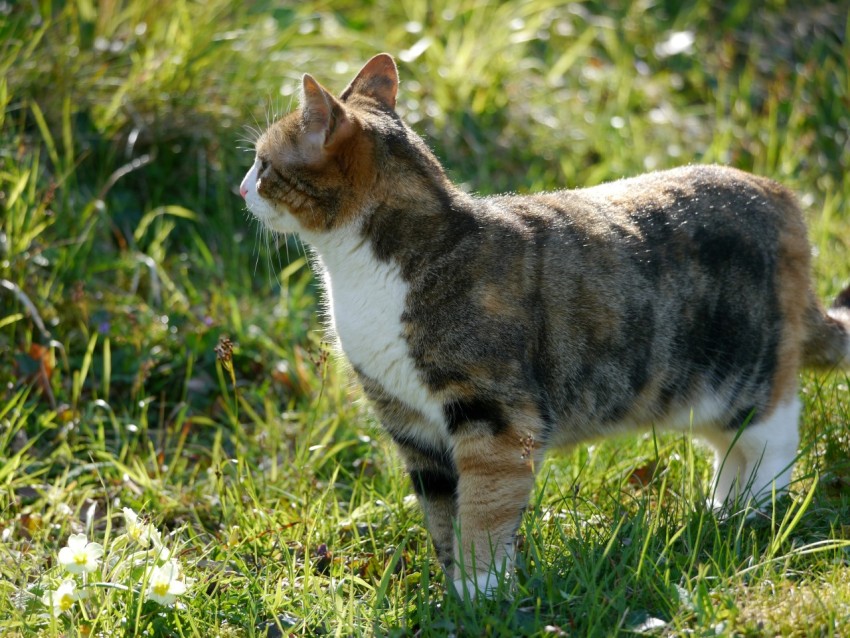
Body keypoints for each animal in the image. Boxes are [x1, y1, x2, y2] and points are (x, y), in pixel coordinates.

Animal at [237, 53, 848, 600]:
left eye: (263, 165)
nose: (241, 189)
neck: (371, 270)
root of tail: (781, 197)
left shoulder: (493, 415)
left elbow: (484, 506)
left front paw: (482, 593)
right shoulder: (409, 422)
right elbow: (441, 511)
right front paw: (452, 589)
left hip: (746, 371)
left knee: (771, 434)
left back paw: (758, 513)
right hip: (683, 388)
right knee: (726, 444)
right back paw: (724, 508)